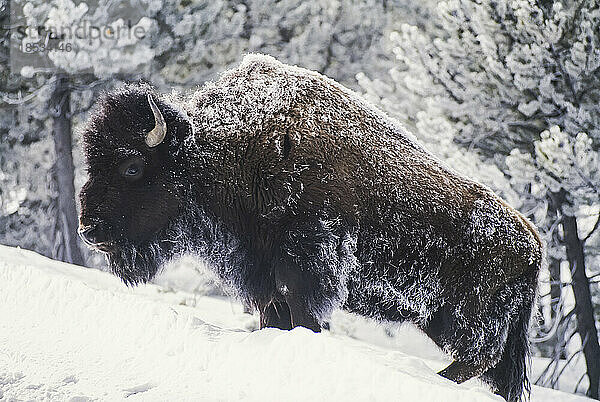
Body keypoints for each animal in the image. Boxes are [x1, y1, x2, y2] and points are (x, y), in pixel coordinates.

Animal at [78, 54, 544, 402]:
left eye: (132, 166)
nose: (88, 229)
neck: (221, 152)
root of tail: (533, 241)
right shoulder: (261, 274)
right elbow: (273, 317)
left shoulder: (306, 266)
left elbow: (304, 315)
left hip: (459, 318)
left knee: (478, 358)